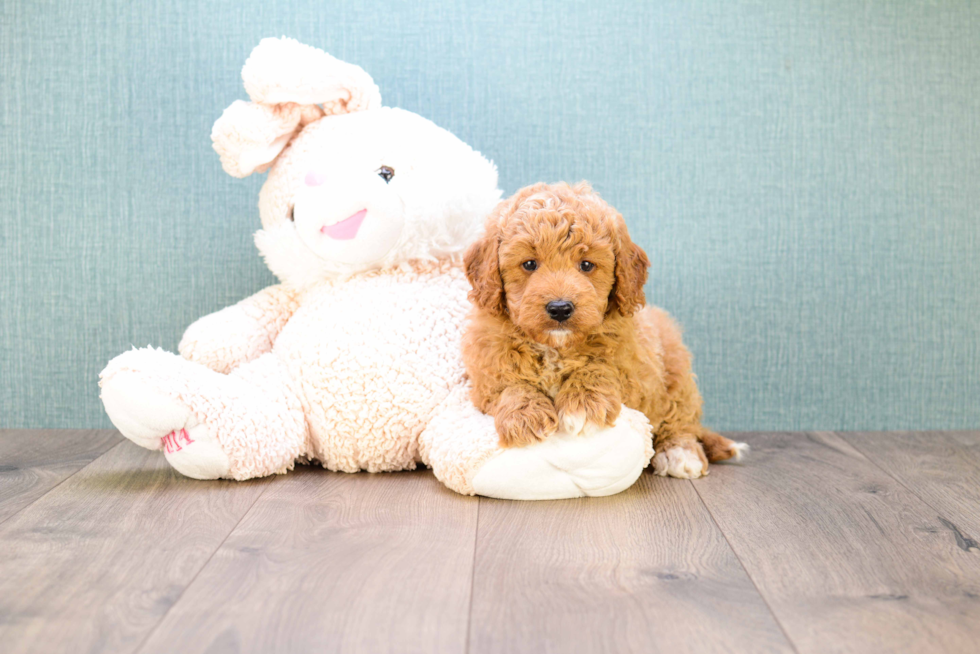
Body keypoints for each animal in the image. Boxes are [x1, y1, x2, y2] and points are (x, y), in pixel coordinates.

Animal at [460, 182, 744, 480]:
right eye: (529, 264)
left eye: (586, 265)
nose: (560, 308)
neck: (556, 348)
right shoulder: (484, 372)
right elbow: (509, 383)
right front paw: (525, 415)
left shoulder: (636, 372)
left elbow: (600, 367)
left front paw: (582, 404)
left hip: (676, 369)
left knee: (681, 417)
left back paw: (680, 452)